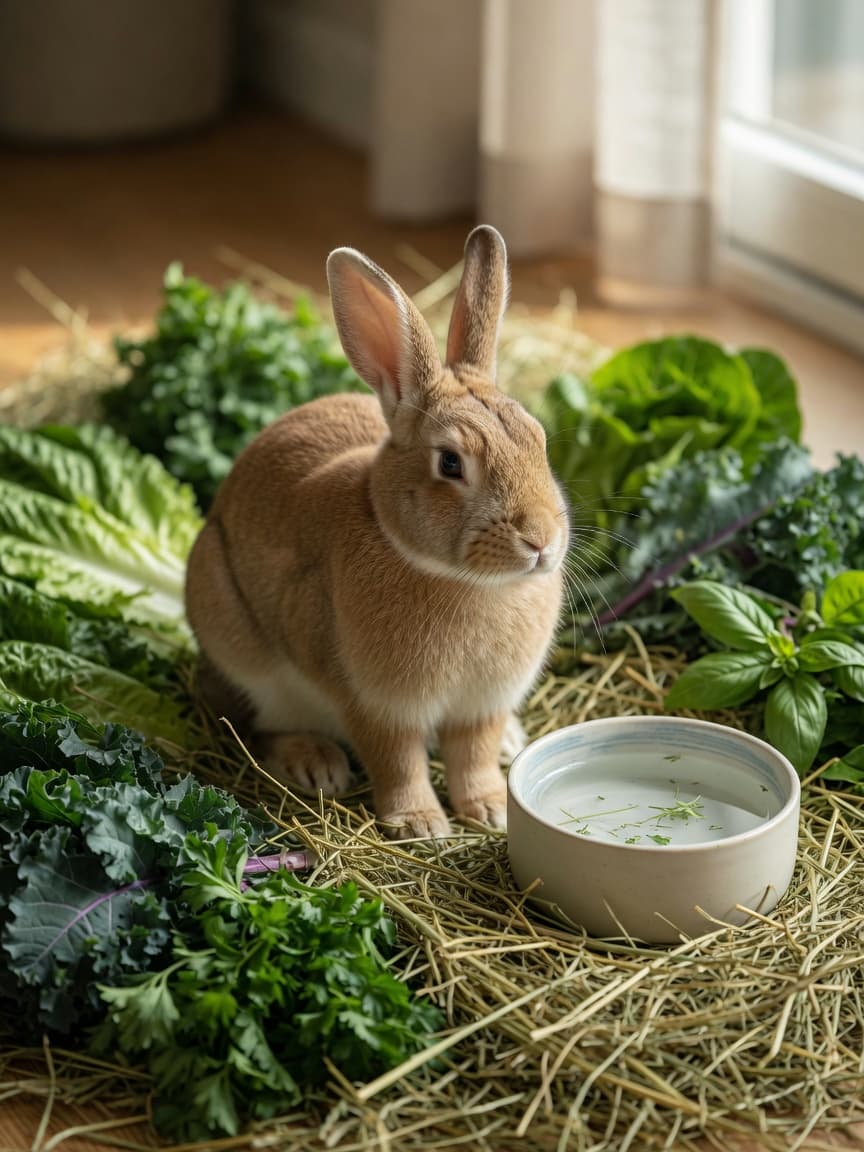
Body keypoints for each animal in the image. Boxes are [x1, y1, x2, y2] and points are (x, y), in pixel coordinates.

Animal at [185, 225, 568, 838]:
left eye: (539, 439)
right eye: (451, 464)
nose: (539, 542)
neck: (462, 581)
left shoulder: (482, 705)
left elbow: (474, 756)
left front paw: (490, 811)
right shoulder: (372, 703)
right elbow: (396, 760)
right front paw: (421, 825)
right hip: (240, 645)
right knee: (258, 724)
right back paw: (315, 764)